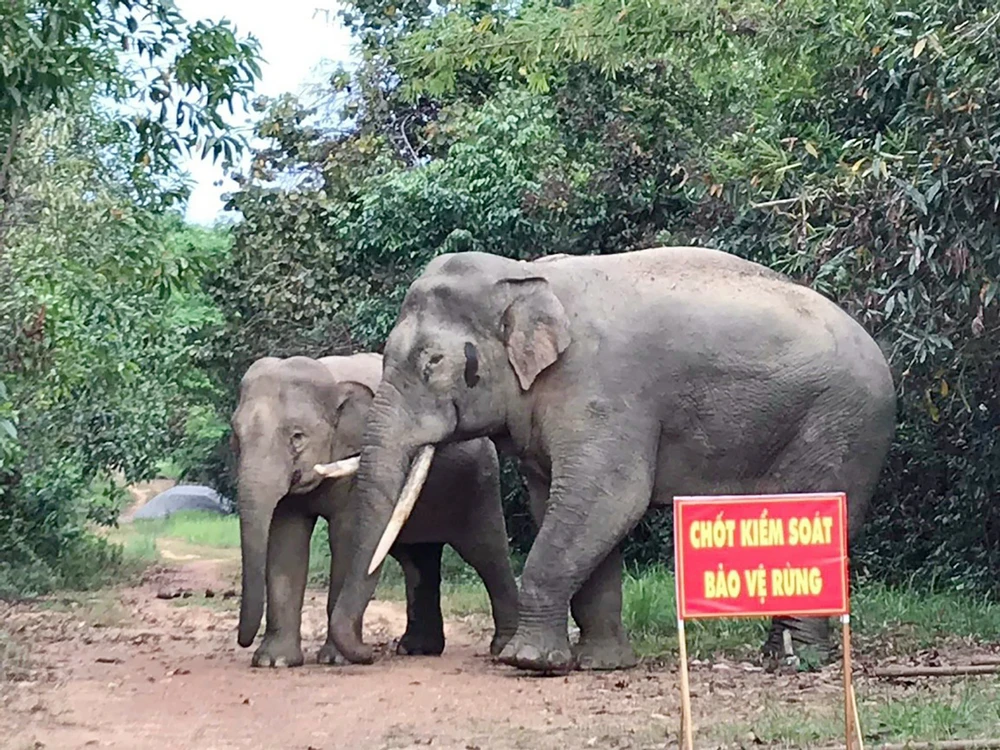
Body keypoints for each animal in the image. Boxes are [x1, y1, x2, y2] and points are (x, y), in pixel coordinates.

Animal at [230, 354, 520, 668]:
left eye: (297, 437)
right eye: (236, 436)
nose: (369, 653)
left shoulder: (358, 459)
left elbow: (347, 538)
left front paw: (336, 660)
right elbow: (286, 541)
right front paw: (274, 662)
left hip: (477, 482)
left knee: (486, 552)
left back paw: (500, 648)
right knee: (417, 560)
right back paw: (417, 649)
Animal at [316, 247, 896, 676]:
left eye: (433, 362)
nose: (372, 654)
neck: (526, 276)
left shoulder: (601, 391)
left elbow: (607, 499)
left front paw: (529, 662)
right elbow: (568, 505)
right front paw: (601, 665)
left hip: (842, 427)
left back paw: (799, 663)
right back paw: (780, 658)